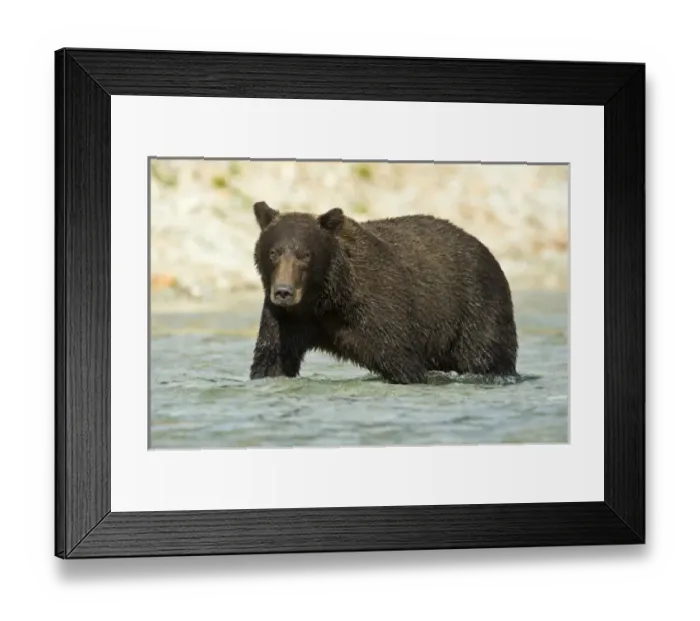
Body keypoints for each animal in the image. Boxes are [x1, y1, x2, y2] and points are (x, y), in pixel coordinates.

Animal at [248, 201, 518, 385]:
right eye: (273, 253)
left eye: (305, 255)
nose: (283, 292)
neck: (325, 298)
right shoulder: (287, 319)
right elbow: (271, 359)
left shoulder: (379, 307)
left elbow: (401, 358)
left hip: (476, 309)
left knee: (484, 356)